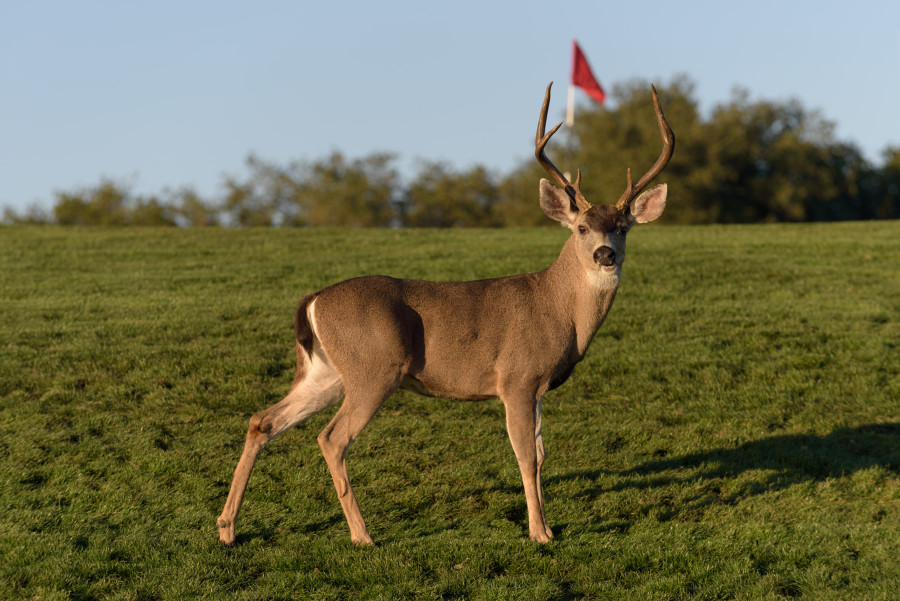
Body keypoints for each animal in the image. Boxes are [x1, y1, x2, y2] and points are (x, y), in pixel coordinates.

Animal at [214, 82, 672, 548]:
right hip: (374, 368)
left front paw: (546, 525)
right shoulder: (517, 378)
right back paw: (362, 536)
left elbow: (542, 455)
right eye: (581, 228)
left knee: (263, 420)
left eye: (623, 227)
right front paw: (540, 533)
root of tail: (314, 299)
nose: (605, 254)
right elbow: (526, 456)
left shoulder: (539, 386)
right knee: (332, 439)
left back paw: (227, 528)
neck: (558, 309)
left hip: (326, 372)